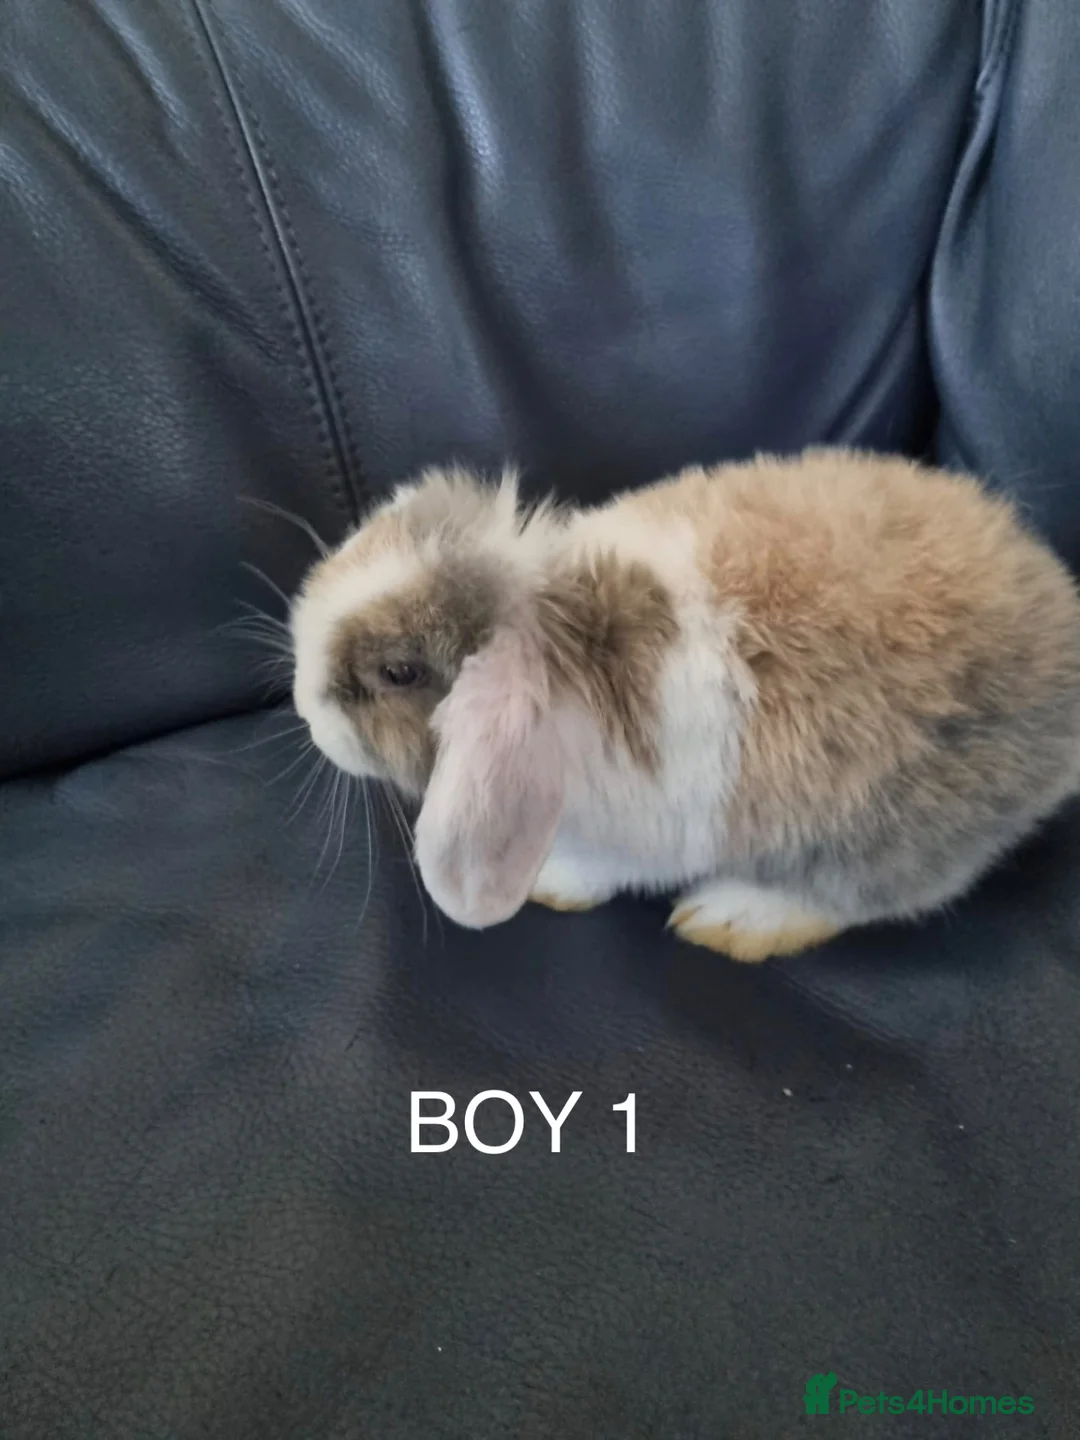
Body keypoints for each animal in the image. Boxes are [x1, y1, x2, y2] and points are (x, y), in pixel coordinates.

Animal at [289, 447, 1080, 961]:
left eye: (399, 671)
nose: (303, 706)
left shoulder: (640, 830)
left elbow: (603, 866)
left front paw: (549, 883)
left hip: (891, 817)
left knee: (869, 891)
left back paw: (733, 918)